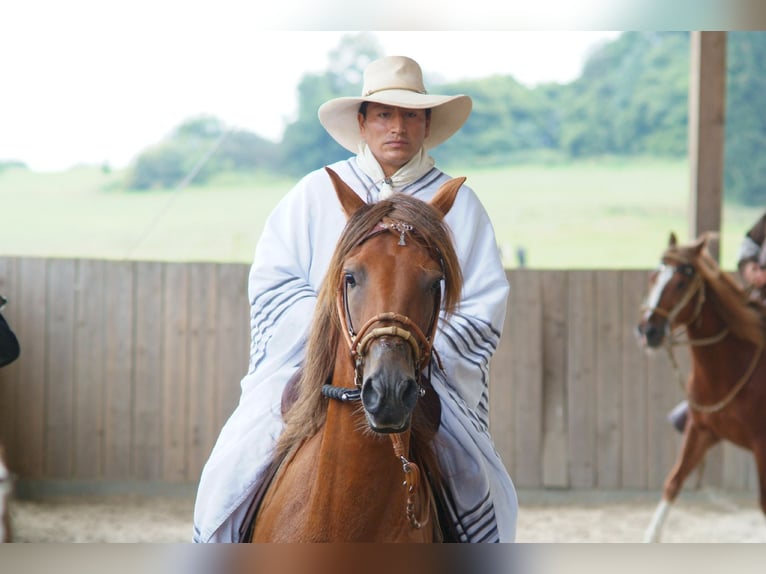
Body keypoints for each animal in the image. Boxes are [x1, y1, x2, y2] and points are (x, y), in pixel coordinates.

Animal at [636, 232, 766, 544]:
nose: (648, 332)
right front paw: (651, 535)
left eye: (681, 283)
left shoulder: (762, 446)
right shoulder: (701, 431)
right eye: (654, 277)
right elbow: (673, 482)